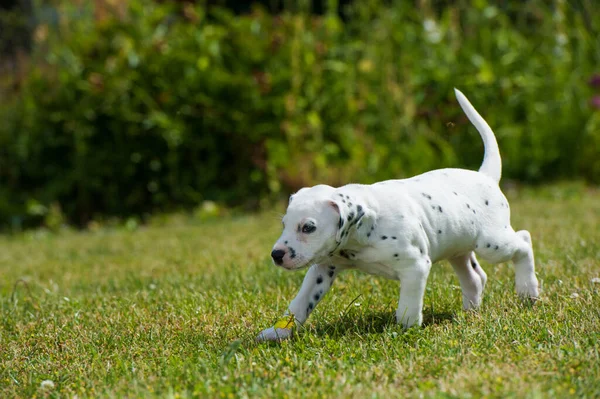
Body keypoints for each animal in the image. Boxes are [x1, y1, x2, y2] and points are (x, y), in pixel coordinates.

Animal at [255, 89, 540, 342]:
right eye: (284, 225)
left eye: (308, 227)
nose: (276, 254)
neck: (364, 229)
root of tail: (485, 176)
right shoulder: (322, 269)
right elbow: (300, 303)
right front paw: (278, 332)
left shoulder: (415, 266)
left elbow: (408, 305)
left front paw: (405, 329)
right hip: (458, 249)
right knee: (475, 278)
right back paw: (470, 311)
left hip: (493, 243)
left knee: (524, 241)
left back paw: (528, 290)